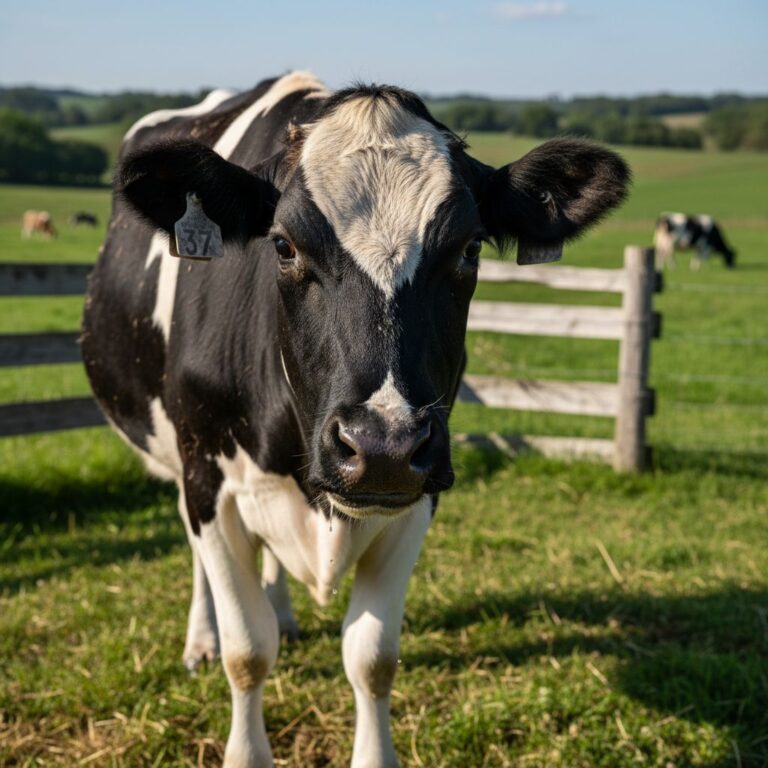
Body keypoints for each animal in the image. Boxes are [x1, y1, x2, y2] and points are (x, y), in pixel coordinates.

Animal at [81, 71, 630, 767]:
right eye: (282, 245)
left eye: (470, 249)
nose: (382, 444)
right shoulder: (208, 476)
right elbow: (246, 652)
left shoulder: (418, 497)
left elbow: (372, 659)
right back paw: (202, 639)